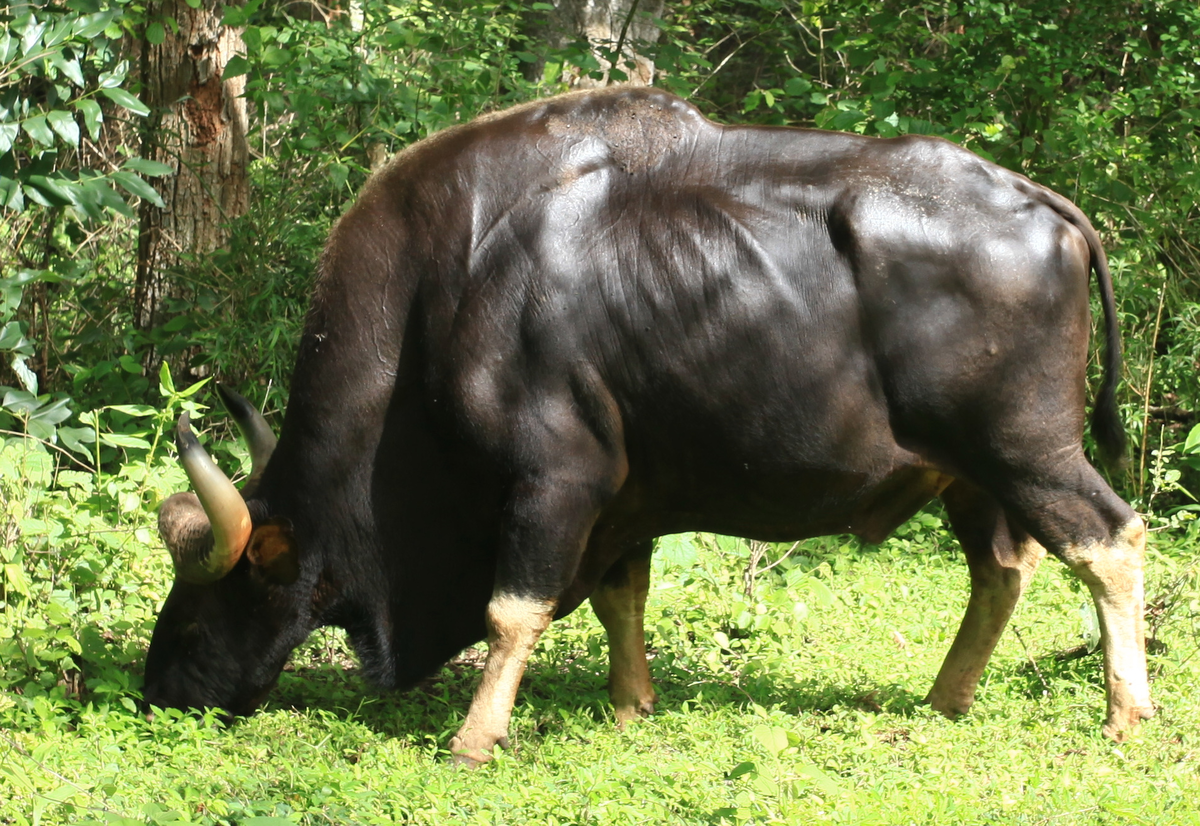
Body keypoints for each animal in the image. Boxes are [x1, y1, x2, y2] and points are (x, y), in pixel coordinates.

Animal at [147, 87, 1152, 763]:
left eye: (197, 620)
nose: (159, 694)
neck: (442, 294)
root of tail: (1046, 205)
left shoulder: (556, 480)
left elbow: (514, 609)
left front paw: (477, 736)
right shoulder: (628, 492)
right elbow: (619, 594)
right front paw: (631, 704)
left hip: (1023, 448)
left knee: (1110, 538)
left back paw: (1126, 714)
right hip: (970, 474)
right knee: (1004, 571)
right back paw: (944, 701)